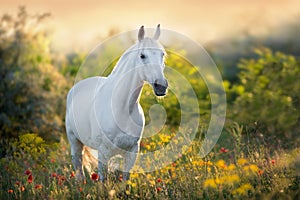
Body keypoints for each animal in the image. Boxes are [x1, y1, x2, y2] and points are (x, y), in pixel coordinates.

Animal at [65, 25, 168, 181]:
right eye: (142, 55)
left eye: (163, 54)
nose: (161, 86)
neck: (123, 109)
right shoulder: (103, 153)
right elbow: (103, 180)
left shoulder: (132, 152)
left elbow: (125, 179)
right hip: (74, 142)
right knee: (78, 168)